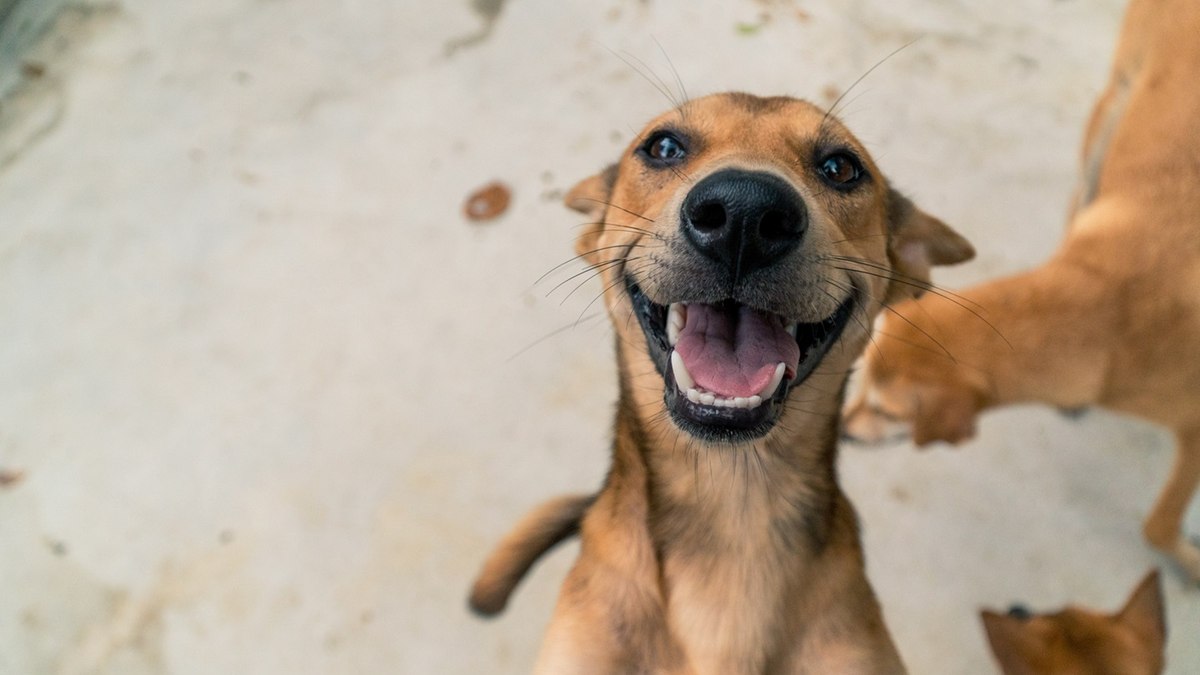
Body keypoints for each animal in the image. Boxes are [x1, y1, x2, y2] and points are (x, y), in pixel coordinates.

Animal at [840, 0, 1200, 581]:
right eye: (860, 387)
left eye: (890, 414)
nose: (845, 434)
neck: (1109, 303)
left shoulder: (1194, 429)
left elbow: (1159, 522)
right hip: (1113, 103)